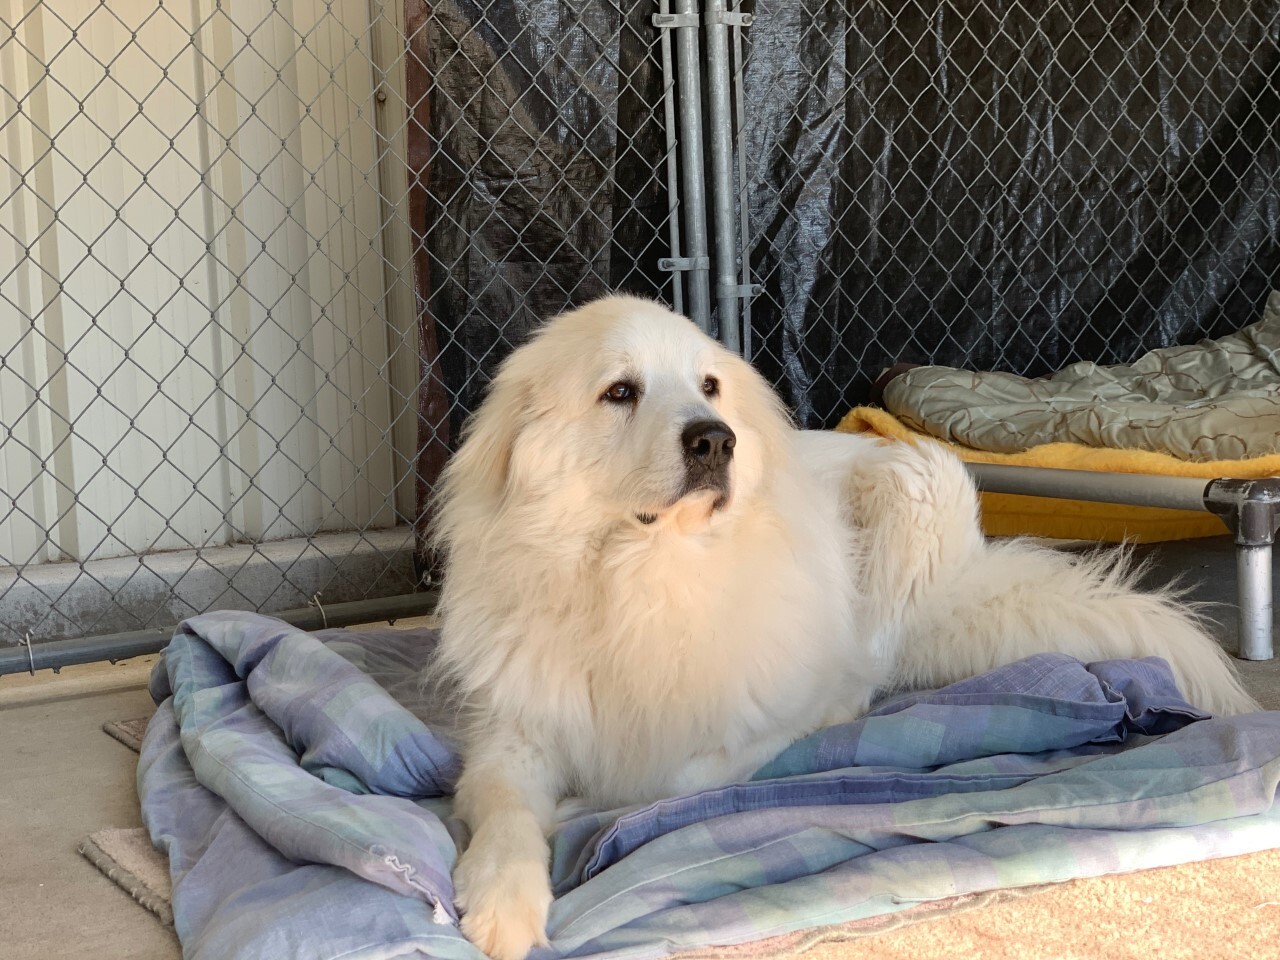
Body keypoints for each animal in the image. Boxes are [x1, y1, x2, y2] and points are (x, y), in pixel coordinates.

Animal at [432, 295, 1259, 960]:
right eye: (620, 392)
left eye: (709, 386)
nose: (716, 439)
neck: (641, 579)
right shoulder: (512, 734)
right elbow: (503, 810)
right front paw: (502, 900)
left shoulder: (751, 728)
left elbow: (664, 778)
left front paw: (581, 814)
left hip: (911, 496)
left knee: (864, 680)